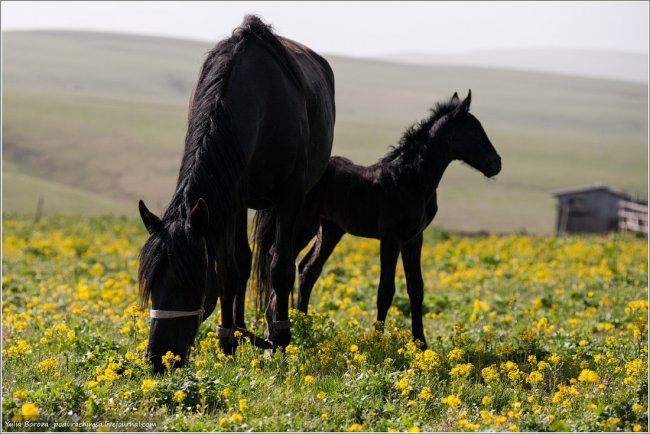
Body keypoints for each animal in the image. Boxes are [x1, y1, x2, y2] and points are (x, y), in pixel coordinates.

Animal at [134, 15, 332, 372]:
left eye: (192, 286)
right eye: (151, 285)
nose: (159, 360)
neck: (262, 100)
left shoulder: (290, 197)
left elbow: (280, 268)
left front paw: (281, 341)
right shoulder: (229, 198)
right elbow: (228, 270)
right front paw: (227, 342)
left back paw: (270, 330)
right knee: (244, 259)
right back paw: (240, 329)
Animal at [253, 90, 496, 350]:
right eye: (475, 131)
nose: (497, 164)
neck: (411, 179)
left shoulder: (414, 238)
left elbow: (416, 288)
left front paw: (420, 343)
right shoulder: (390, 237)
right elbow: (385, 290)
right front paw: (378, 342)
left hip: (330, 229)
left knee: (308, 268)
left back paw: (303, 327)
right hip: (302, 224)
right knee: (278, 259)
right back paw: (275, 325)